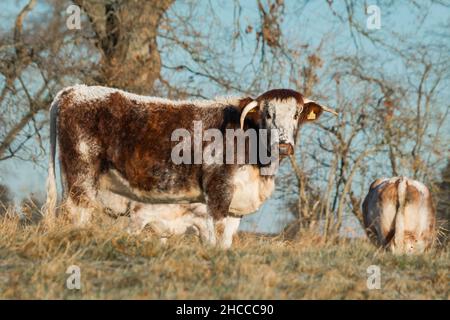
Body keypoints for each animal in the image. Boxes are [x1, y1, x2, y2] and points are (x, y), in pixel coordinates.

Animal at [44, 84, 338, 248]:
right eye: (267, 113)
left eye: (297, 114)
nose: (284, 145)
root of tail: (73, 90)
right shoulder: (218, 192)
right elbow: (216, 234)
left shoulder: (236, 206)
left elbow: (226, 241)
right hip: (81, 175)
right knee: (76, 214)